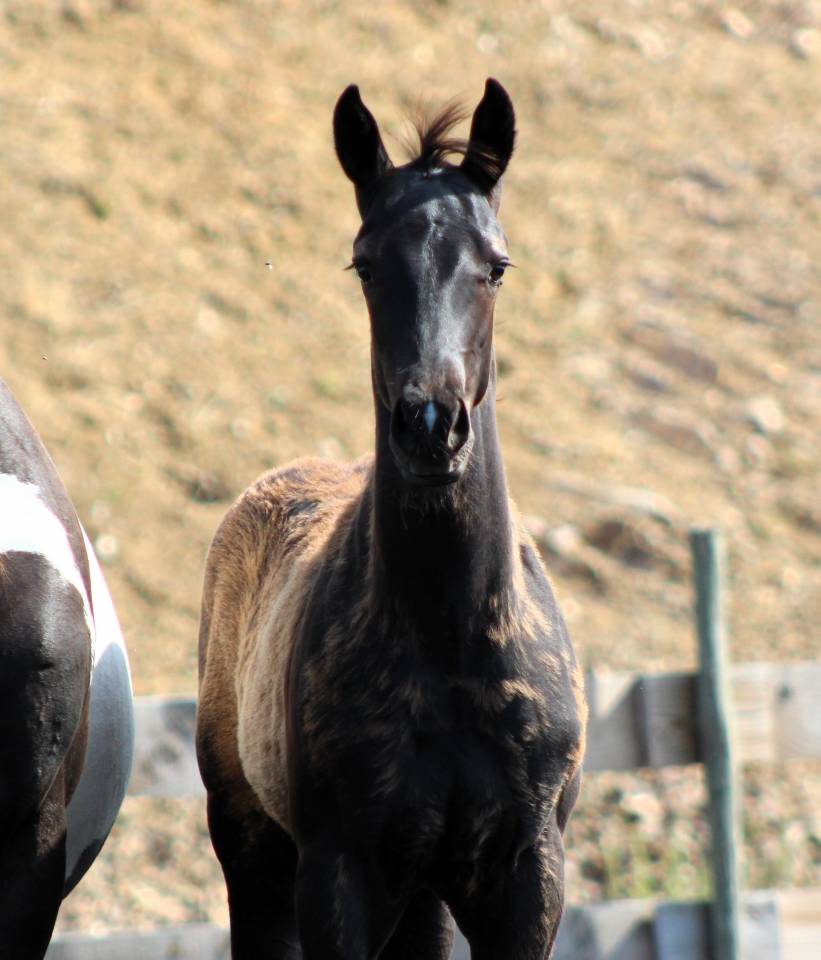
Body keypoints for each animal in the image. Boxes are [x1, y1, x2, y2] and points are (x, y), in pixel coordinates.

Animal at [196, 78, 587, 960]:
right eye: (365, 264)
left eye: (496, 267)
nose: (430, 425)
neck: (449, 642)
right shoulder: (337, 872)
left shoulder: (528, 877)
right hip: (253, 847)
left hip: (424, 896)